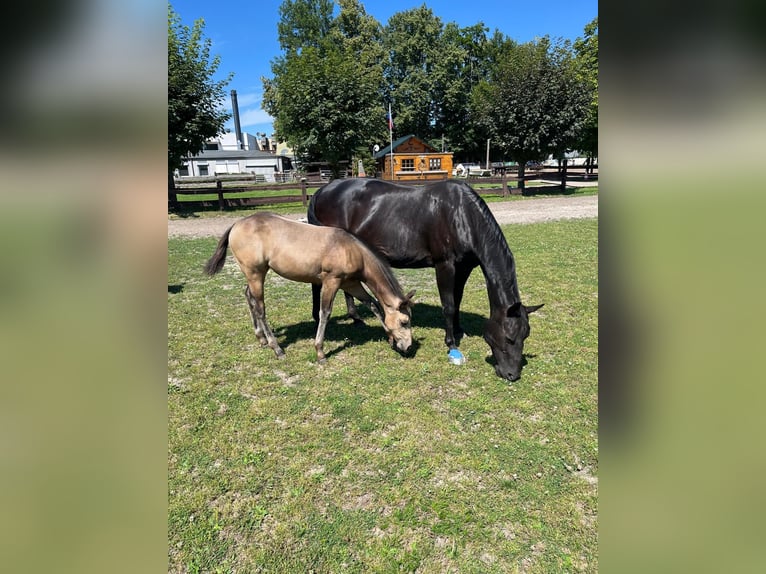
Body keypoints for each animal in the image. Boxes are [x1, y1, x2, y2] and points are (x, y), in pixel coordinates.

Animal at [204, 212, 415, 363]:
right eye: (405, 322)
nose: (408, 347)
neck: (352, 250)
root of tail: (236, 224)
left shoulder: (351, 283)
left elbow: (373, 305)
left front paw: (390, 338)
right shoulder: (332, 281)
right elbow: (325, 312)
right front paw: (320, 352)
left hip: (253, 275)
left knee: (248, 296)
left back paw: (261, 338)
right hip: (255, 273)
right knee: (260, 308)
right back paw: (277, 349)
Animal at [307, 178, 543, 381]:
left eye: (526, 336)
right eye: (509, 338)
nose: (512, 374)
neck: (462, 215)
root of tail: (322, 190)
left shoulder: (464, 268)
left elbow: (457, 300)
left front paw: (458, 330)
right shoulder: (444, 265)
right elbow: (448, 305)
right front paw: (451, 345)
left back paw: (355, 318)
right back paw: (320, 318)